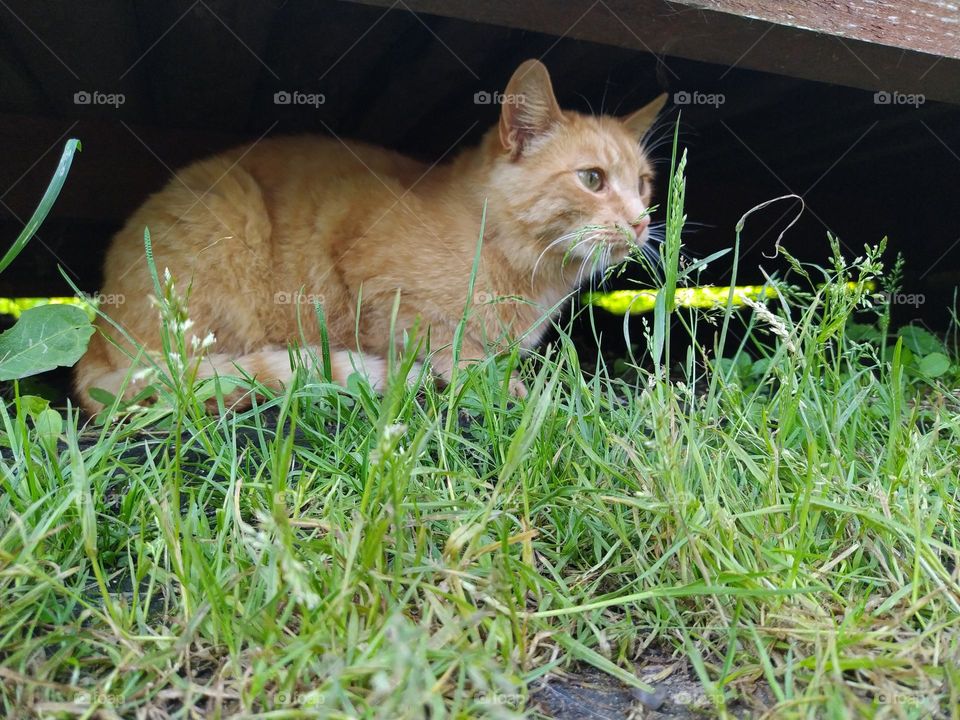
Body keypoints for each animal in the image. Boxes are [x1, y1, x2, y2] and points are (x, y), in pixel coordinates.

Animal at [73, 59, 668, 414]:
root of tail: (98, 335)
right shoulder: (364, 259)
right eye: (592, 179)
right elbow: (441, 341)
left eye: (643, 183)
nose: (641, 220)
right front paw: (487, 380)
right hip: (227, 222)